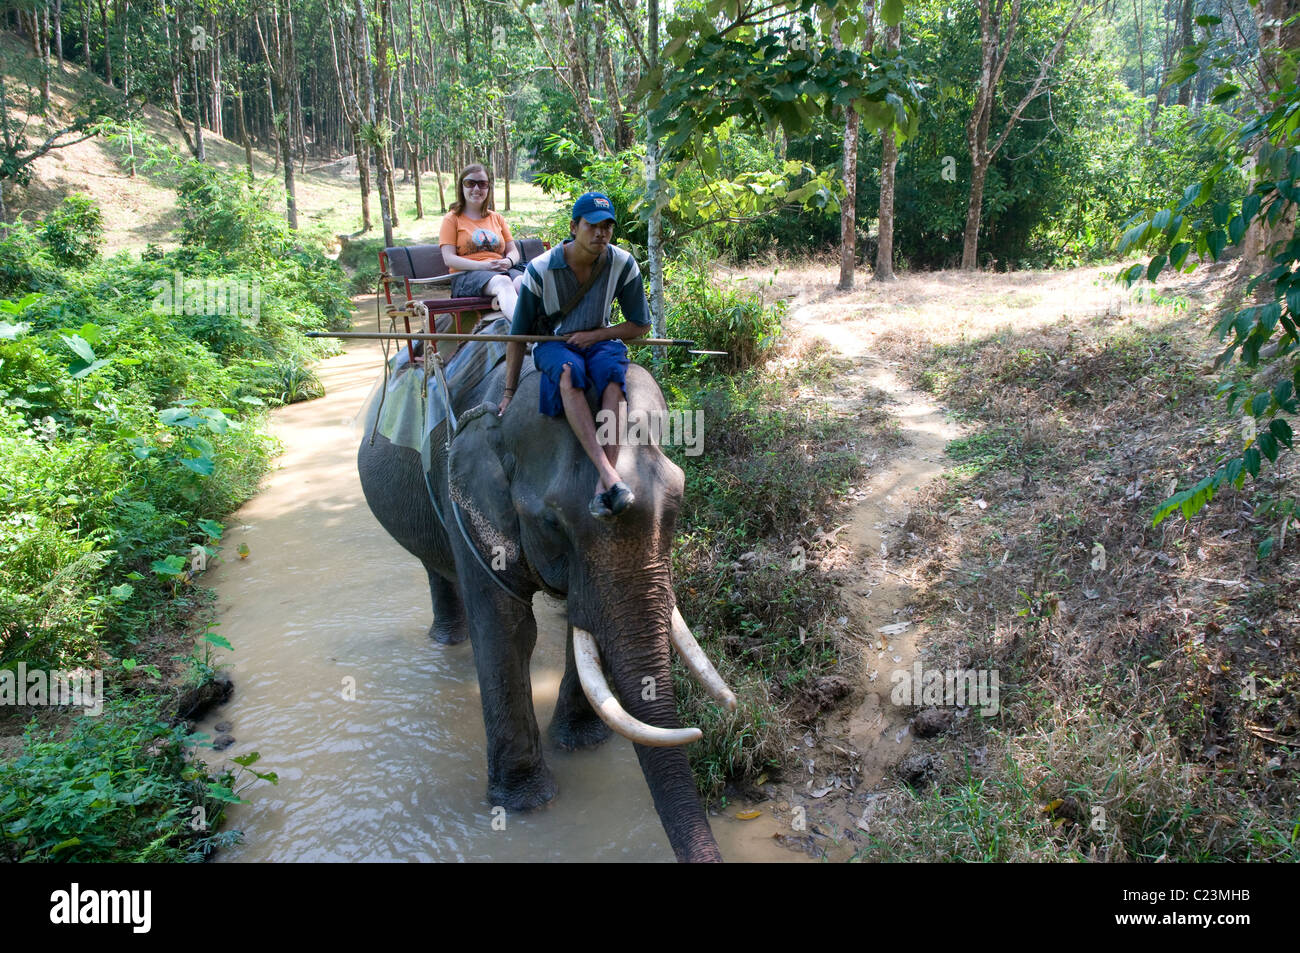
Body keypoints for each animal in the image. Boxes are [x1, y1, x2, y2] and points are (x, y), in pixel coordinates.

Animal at [356, 343, 738, 863]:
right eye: (553, 523)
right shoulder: (465, 502)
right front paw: (526, 804)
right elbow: (509, 629)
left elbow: (583, 625)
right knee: (437, 570)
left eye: (678, 502)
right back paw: (447, 641)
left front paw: (580, 744)